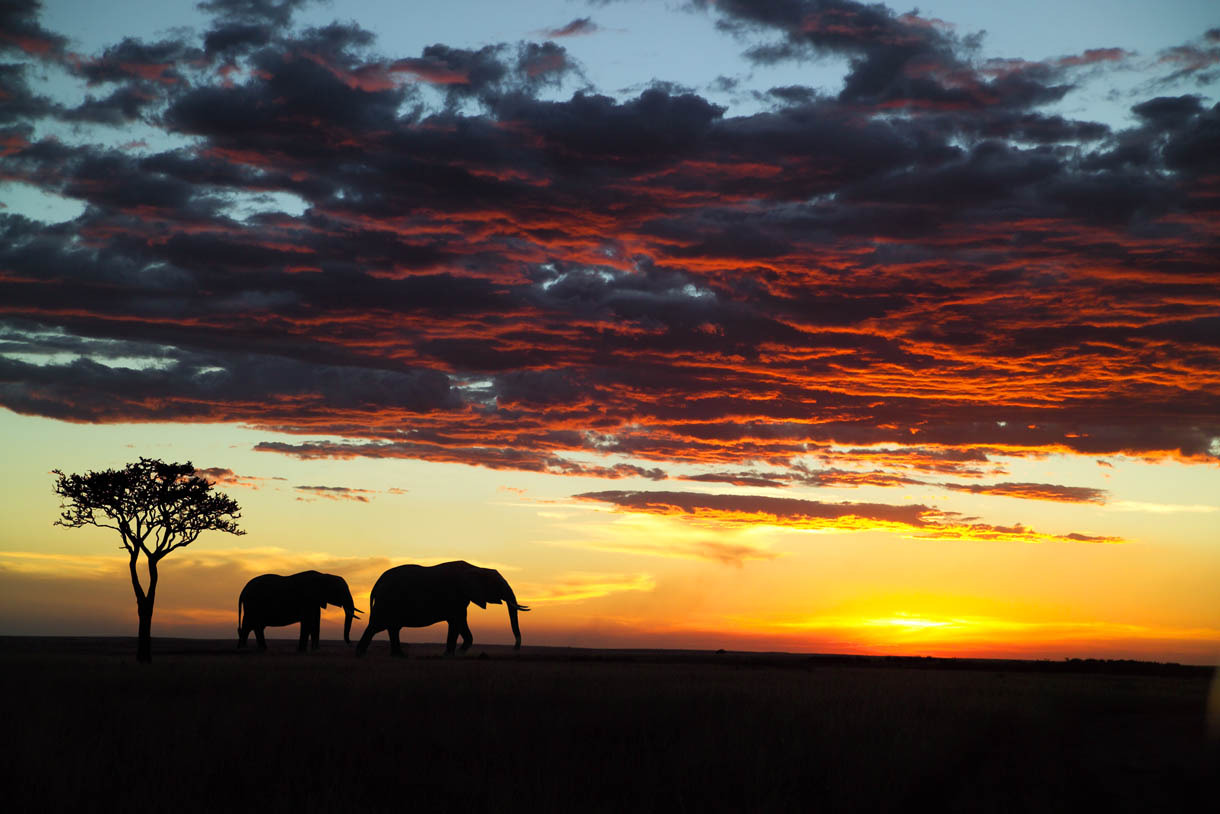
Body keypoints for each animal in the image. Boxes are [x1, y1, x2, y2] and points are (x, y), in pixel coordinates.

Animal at [351, 563, 527, 659]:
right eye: (498, 585)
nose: (515, 648)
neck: (477, 568)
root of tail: (377, 583)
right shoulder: (455, 596)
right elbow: (456, 622)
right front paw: (450, 655)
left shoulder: (461, 600)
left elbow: (460, 622)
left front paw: (457, 653)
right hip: (386, 602)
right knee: (376, 626)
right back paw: (360, 654)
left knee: (391, 628)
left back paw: (398, 656)